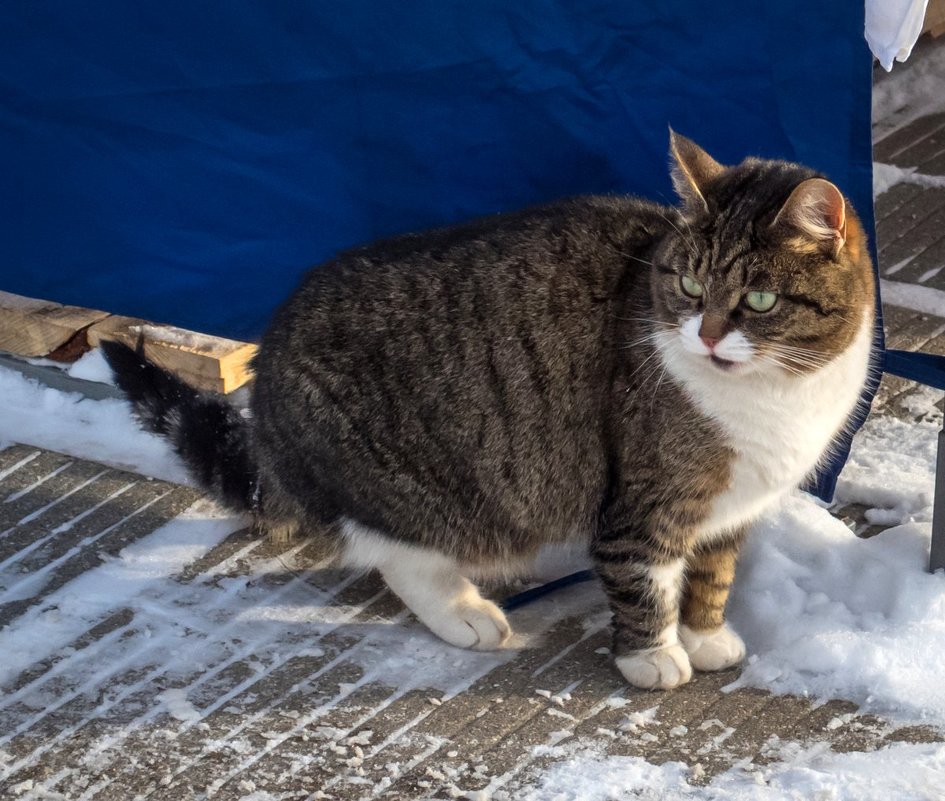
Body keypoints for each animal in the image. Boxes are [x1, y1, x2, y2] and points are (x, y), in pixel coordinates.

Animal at [99, 131, 872, 688]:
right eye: (687, 285)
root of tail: (265, 381)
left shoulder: (731, 507)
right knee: (395, 549)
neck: (779, 394)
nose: (706, 336)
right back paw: (466, 612)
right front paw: (650, 655)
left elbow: (712, 576)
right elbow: (643, 576)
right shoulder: (646, 496)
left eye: (758, 300)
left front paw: (706, 635)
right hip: (409, 481)